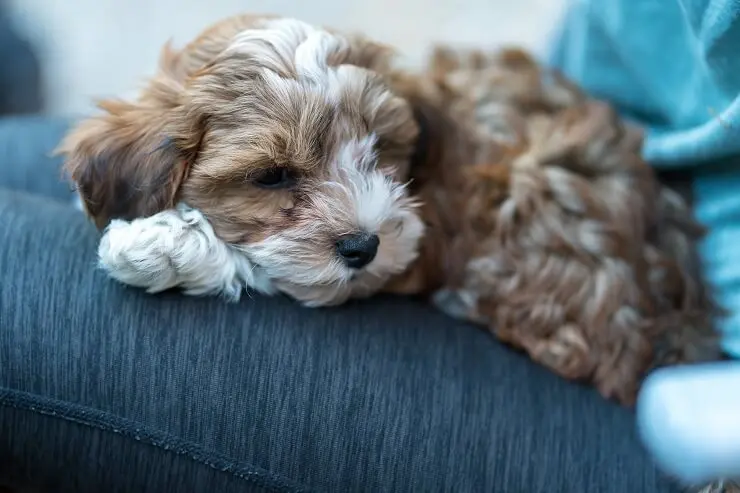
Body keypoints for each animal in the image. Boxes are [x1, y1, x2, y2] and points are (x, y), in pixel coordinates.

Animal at [59, 16, 724, 408]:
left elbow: (284, 272)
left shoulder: (417, 254)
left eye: (379, 151)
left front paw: (160, 246)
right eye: (273, 176)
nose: (363, 246)